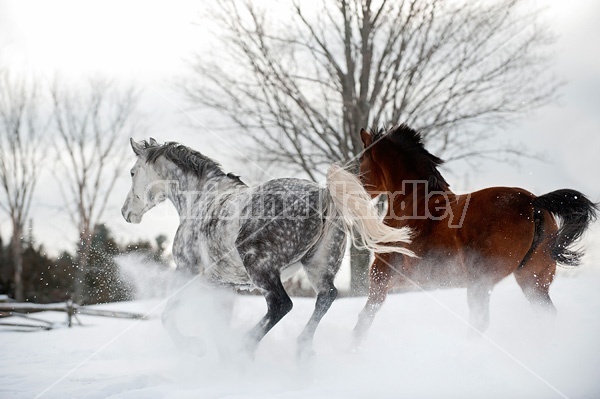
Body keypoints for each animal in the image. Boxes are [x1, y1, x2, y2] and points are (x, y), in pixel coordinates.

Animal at [119, 138, 414, 360]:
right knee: (326, 296)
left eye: (132, 172)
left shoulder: (187, 272)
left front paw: (196, 347)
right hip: (318, 265)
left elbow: (168, 316)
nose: (125, 212)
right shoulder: (223, 284)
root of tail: (322, 194)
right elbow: (219, 320)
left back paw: (245, 346)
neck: (200, 199)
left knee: (281, 305)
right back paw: (302, 349)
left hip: (261, 268)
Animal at [354, 125, 596, 344]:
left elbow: (366, 315)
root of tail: (534, 202)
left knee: (480, 322)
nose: (358, 189)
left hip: (483, 280)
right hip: (533, 279)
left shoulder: (383, 271)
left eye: (361, 160)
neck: (413, 201)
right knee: (546, 314)